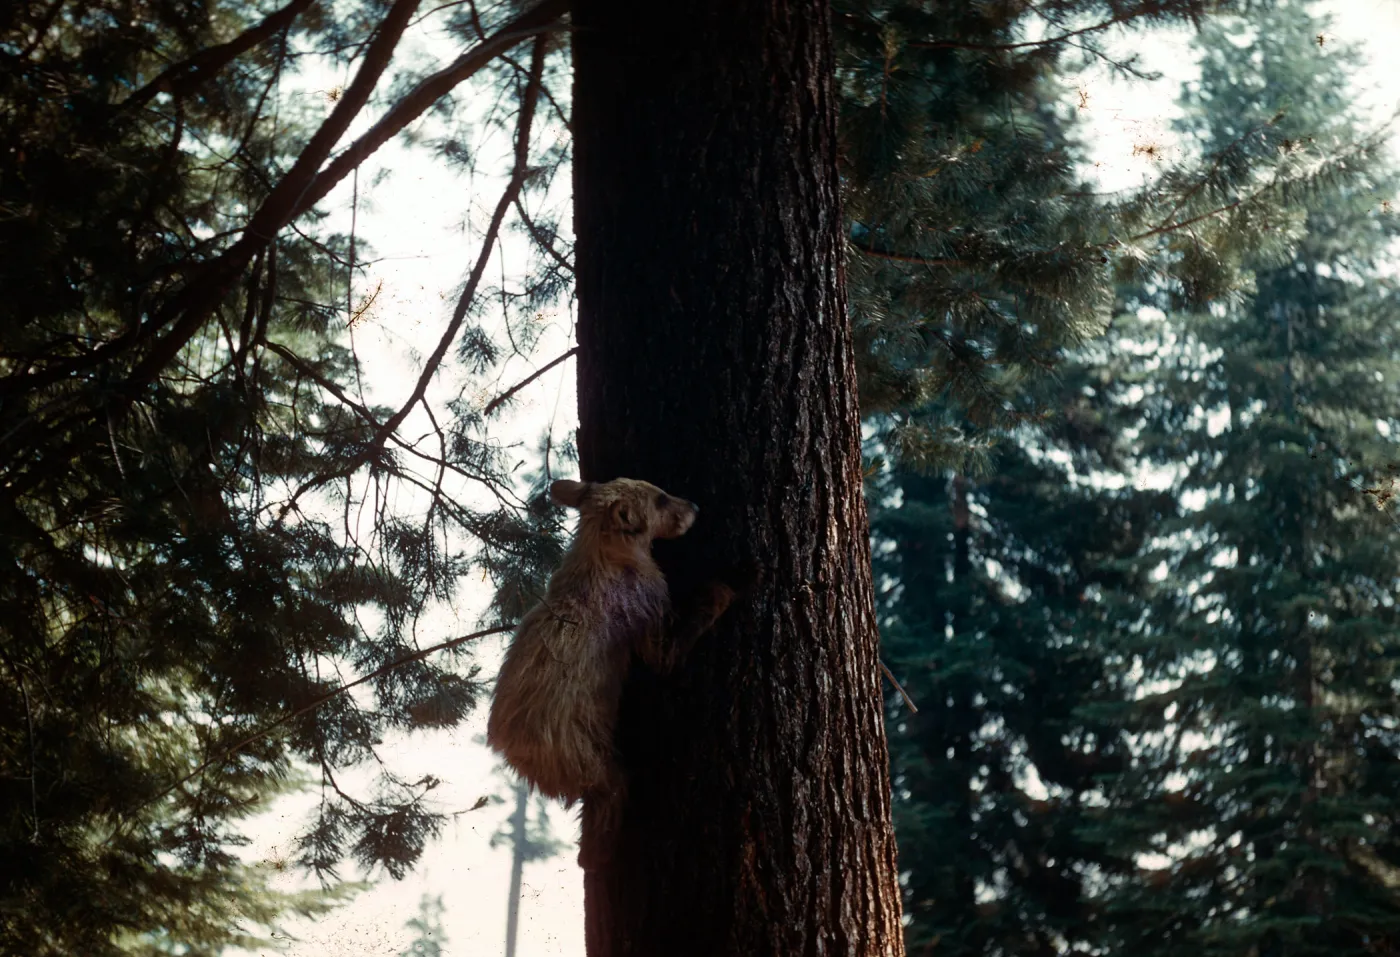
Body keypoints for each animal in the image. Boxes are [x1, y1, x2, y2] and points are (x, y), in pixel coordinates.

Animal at [486, 476, 735, 870]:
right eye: (661, 499)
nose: (695, 506)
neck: (603, 548)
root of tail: (514, 751)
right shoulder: (649, 609)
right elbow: (667, 653)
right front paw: (716, 594)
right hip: (588, 753)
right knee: (610, 792)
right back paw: (597, 850)